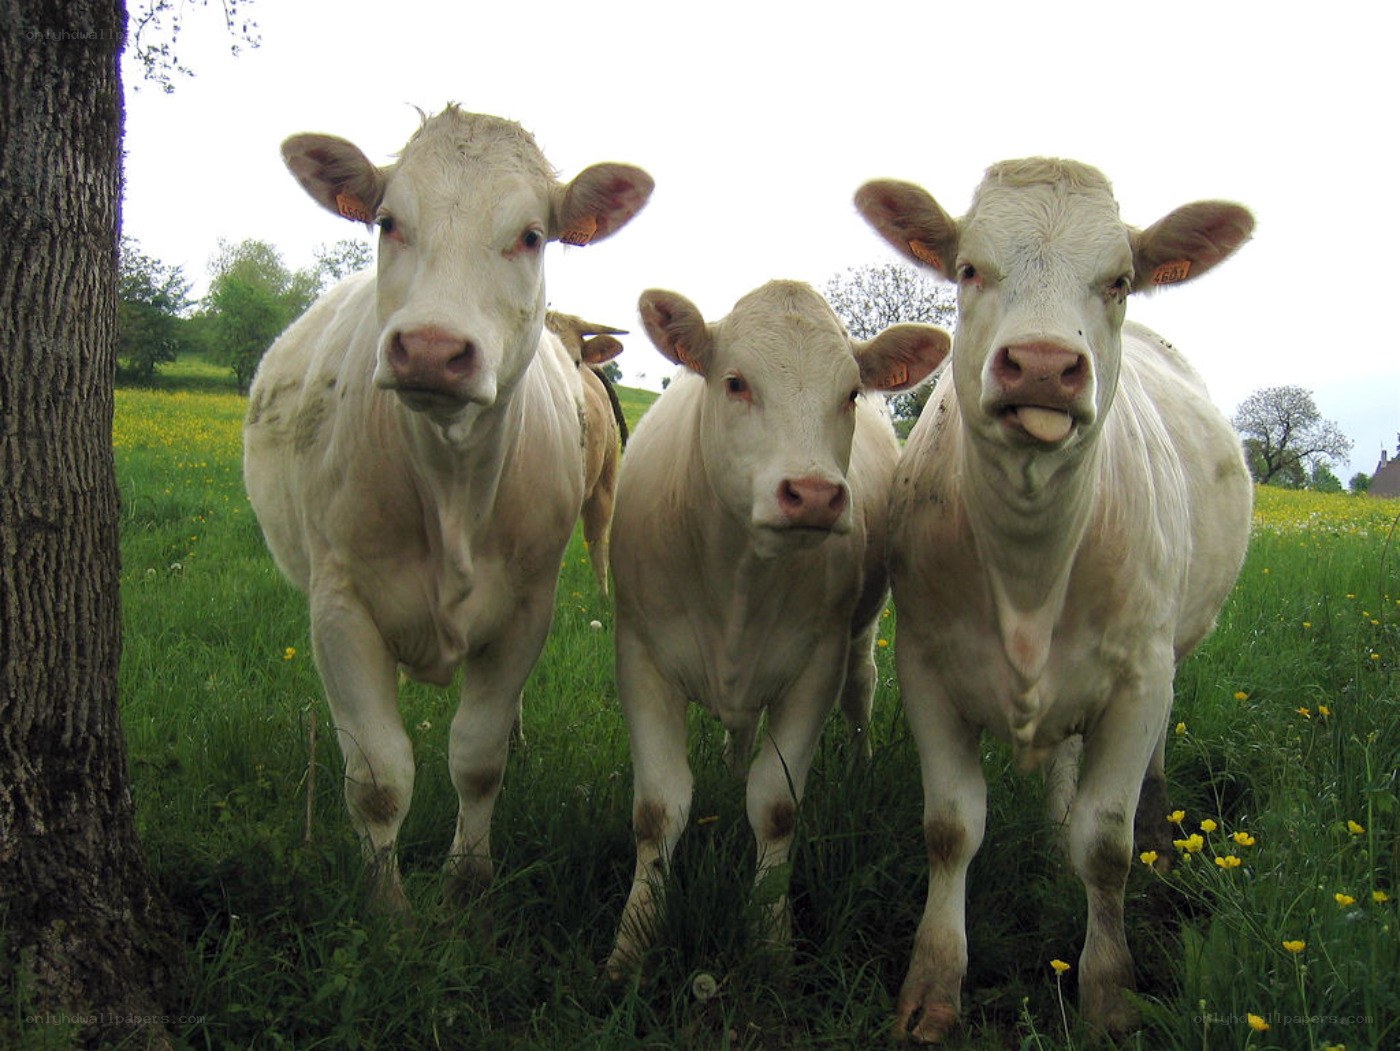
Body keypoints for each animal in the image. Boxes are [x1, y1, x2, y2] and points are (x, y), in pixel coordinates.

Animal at [603, 280, 949, 978]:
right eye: (736, 382)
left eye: (849, 393)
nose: (813, 493)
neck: (738, 577)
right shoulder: (641, 658)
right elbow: (658, 810)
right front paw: (632, 945)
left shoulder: (814, 669)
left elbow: (776, 805)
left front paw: (769, 941)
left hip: (862, 634)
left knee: (862, 690)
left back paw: (860, 765)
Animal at [853, 158, 1254, 1041]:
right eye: (970, 268)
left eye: (1121, 280)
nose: (1040, 364)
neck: (1029, 571)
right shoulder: (926, 666)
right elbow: (951, 828)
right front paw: (933, 985)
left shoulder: (1139, 679)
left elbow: (1105, 845)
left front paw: (1109, 993)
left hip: (1167, 659)